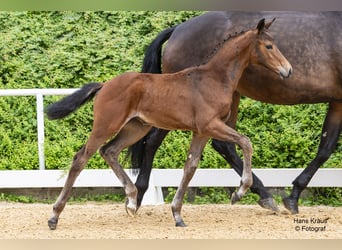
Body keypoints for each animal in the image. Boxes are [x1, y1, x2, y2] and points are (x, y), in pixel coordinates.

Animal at [45, 18, 292, 229]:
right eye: (269, 46)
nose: (288, 70)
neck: (214, 78)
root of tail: (104, 85)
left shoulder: (201, 132)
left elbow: (190, 166)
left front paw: (177, 215)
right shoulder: (211, 125)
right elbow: (246, 142)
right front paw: (238, 193)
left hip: (136, 128)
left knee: (109, 151)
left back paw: (132, 200)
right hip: (106, 125)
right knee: (81, 158)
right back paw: (54, 216)